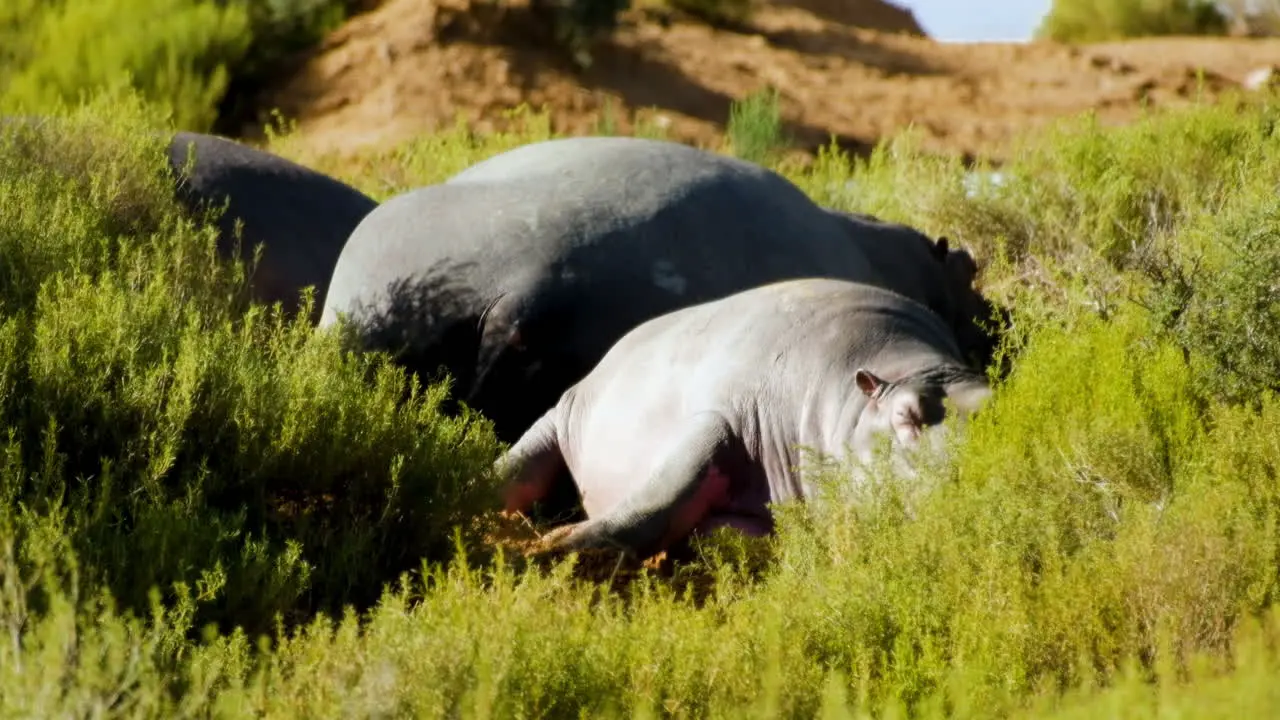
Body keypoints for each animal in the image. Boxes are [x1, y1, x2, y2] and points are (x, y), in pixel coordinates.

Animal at [494, 275, 993, 556]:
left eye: (995, 406)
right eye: (906, 416)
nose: (972, 484)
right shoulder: (723, 418)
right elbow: (655, 502)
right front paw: (547, 549)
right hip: (556, 421)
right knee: (516, 470)